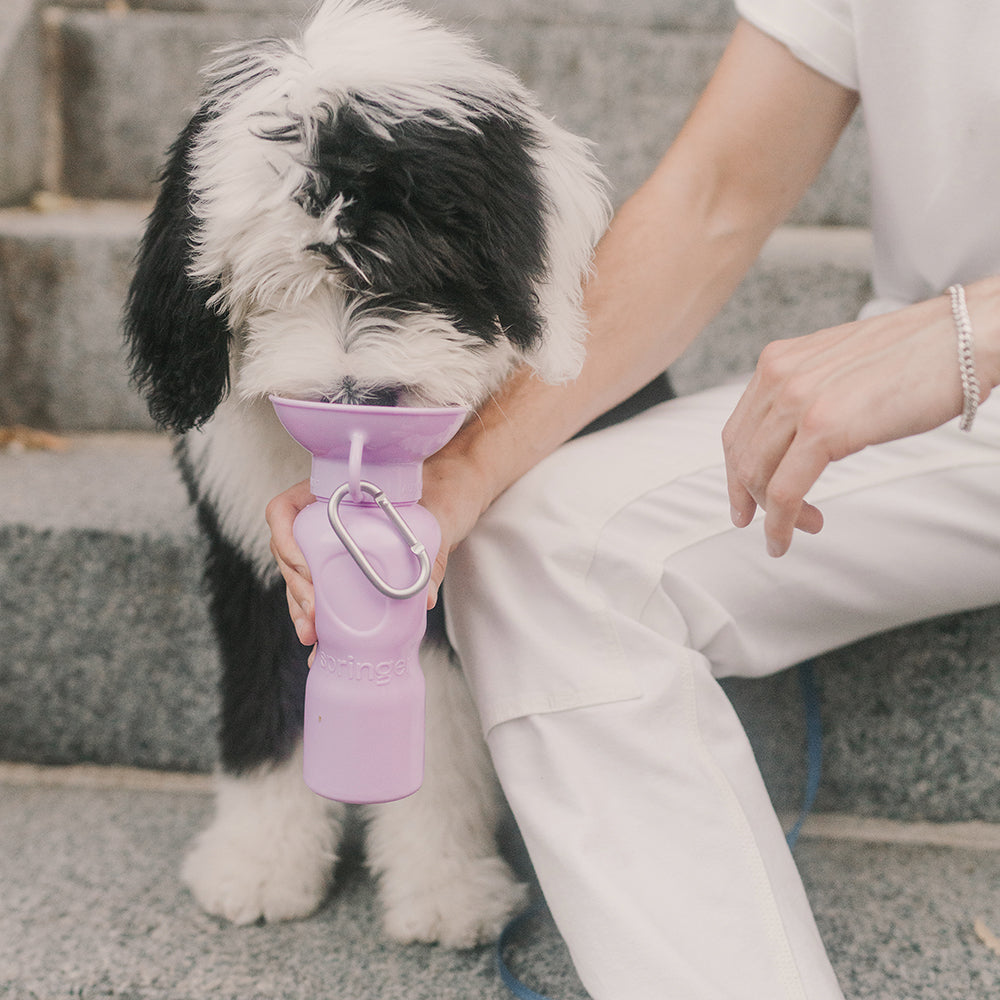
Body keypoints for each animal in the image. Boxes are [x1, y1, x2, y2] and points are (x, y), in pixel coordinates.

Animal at [123, 0, 608, 944]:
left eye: (418, 266)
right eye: (275, 280)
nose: (360, 398)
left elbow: (441, 737)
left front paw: (446, 887)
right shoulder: (256, 557)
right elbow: (269, 703)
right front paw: (260, 865)